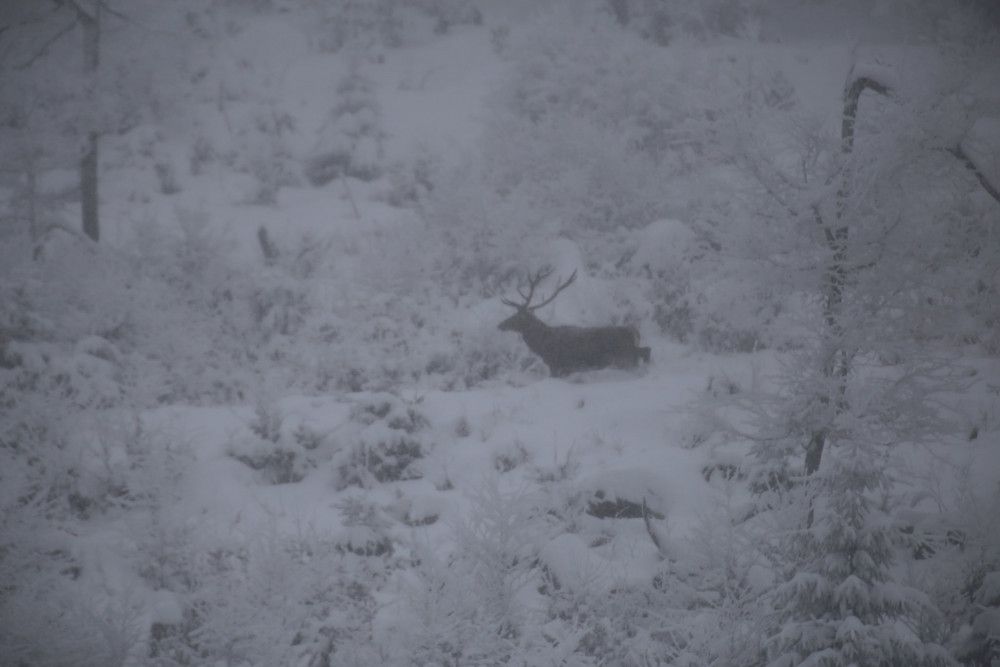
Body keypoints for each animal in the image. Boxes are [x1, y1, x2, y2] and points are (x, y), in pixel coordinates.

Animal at [498, 268, 652, 380]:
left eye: (518, 316)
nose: (500, 325)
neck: (542, 345)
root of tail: (634, 331)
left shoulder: (558, 366)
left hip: (624, 356)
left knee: (645, 351)